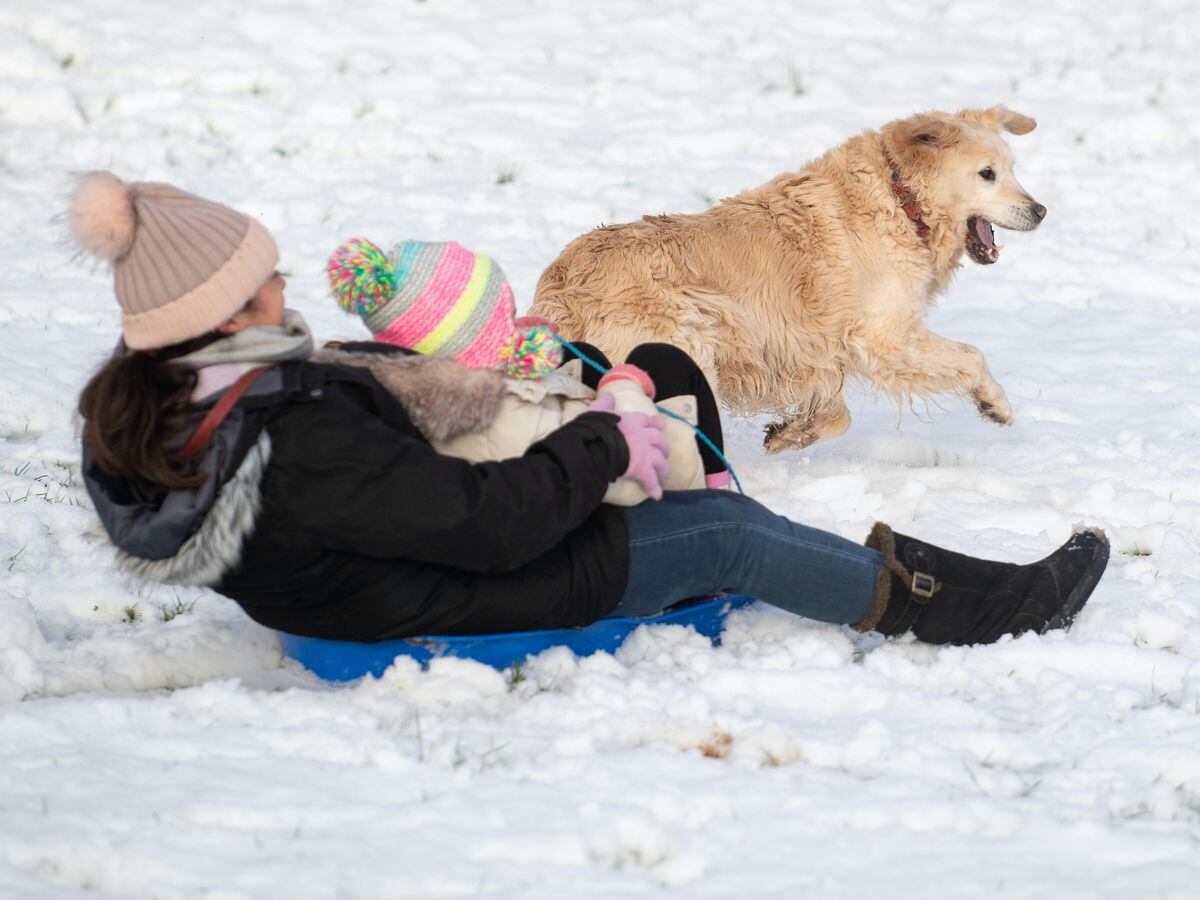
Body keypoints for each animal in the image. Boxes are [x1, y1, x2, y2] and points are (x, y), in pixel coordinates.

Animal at [530, 106, 1046, 453]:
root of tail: (559, 289)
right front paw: (995, 405)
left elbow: (837, 415)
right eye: (987, 174)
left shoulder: (810, 355)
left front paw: (791, 434)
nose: (1041, 211)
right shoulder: (881, 337)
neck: (902, 199)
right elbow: (971, 356)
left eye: (1013, 170)